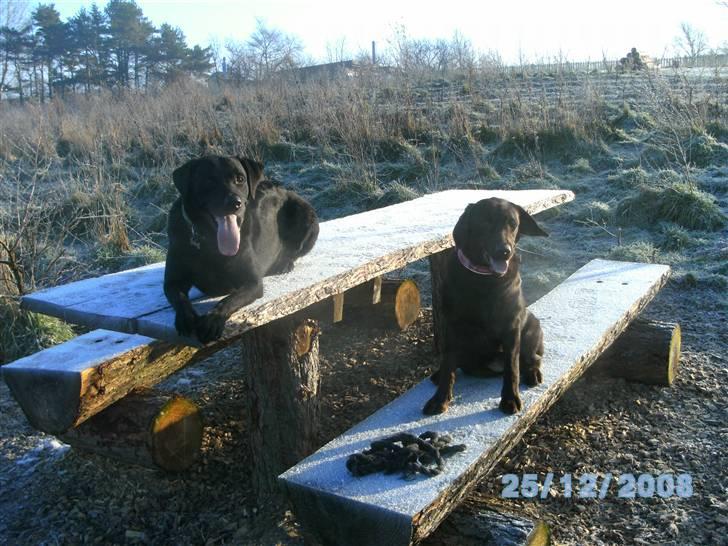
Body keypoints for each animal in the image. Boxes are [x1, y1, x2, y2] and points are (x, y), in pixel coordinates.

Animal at [165, 154, 318, 340]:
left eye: (240, 179)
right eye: (208, 180)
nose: (235, 203)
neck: (211, 242)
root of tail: (284, 188)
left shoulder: (252, 282)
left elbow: (229, 299)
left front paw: (213, 319)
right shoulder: (172, 281)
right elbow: (179, 298)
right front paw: (186, 317)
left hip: (307, 215)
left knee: (296, 251)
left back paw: (283, 264)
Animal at [420, 198, 544, 414]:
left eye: (513, 223)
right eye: (485, 222)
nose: (504, 251)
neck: (484, 279)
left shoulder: (511, 327)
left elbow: (512, 368)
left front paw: (510, 398)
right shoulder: (451, 325)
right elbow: (448, 365)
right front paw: (440, 399)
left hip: (531, 329)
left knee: (532, 359)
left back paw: (533, 373)